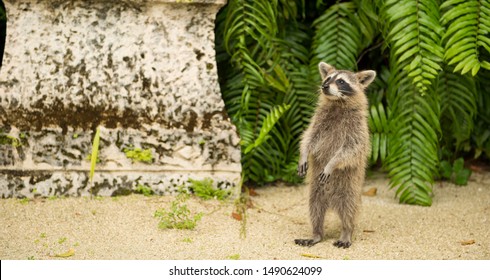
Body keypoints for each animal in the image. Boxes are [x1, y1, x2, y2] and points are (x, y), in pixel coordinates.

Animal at [294, 62, 376, 248]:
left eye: (341, 81)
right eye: (327, 78)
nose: (324, 86)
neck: (338, 103)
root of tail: (331, 203)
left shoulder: (357, 129)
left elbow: (350, 150)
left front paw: (332, 163)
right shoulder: (317, 122)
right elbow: (308, 138)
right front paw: (303, 154)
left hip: (350, 189)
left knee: (349, 211)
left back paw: (346, 232)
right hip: (316, 191)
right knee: (315, 209)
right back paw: (316, 233)